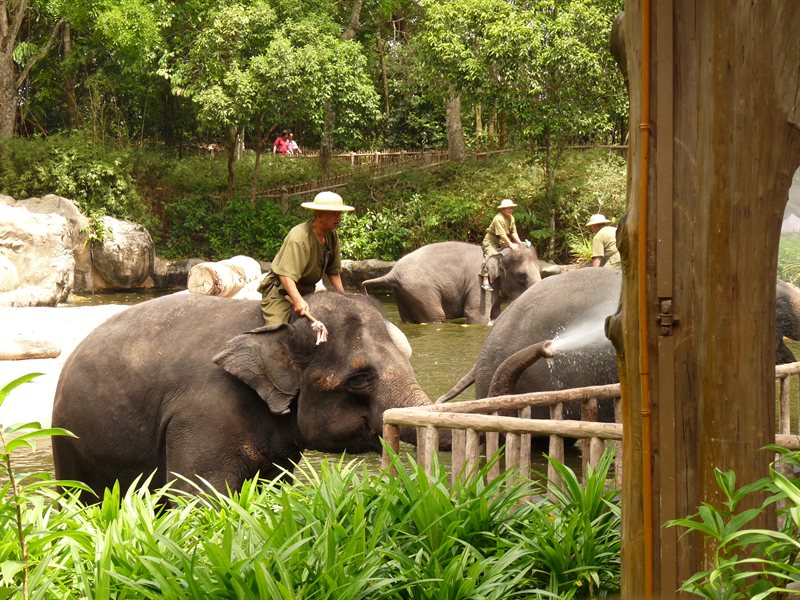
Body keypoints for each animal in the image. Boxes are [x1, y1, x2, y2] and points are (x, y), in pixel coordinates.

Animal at [362, 241, 542, 325]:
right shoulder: (478, 283)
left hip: (402, 293)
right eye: (522, 276)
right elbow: (476, 316)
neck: (498, 253)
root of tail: (393, 272)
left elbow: (495, 313)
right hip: (421, 290)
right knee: (436, 316)